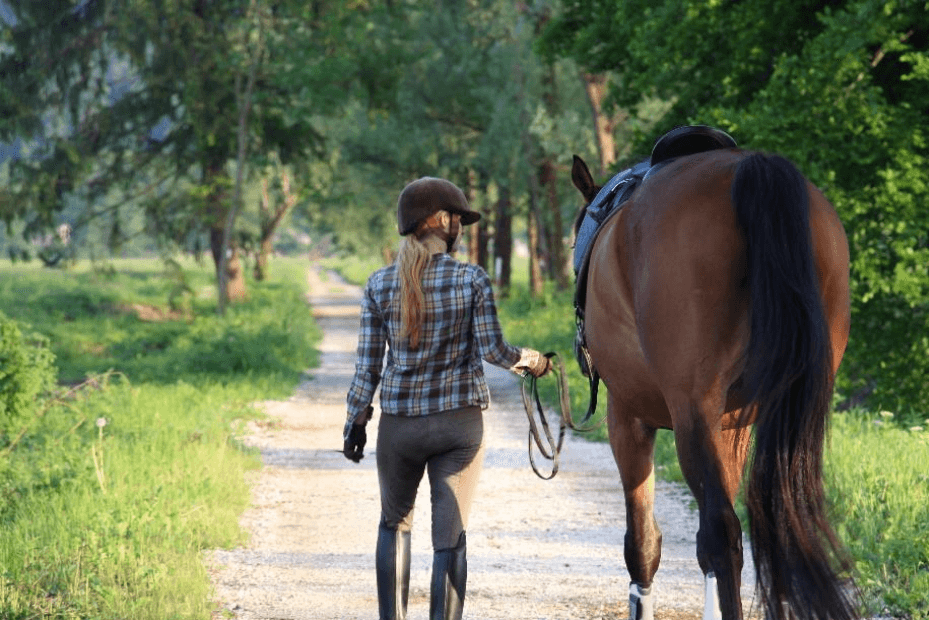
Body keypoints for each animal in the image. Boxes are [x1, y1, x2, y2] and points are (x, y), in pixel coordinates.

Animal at [569, 145, 856, 620]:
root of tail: (750, 168)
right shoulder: (732, 427)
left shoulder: (627, 417)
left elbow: (643, 544)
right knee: (773, 528)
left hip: (690, 412)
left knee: (720, 536)